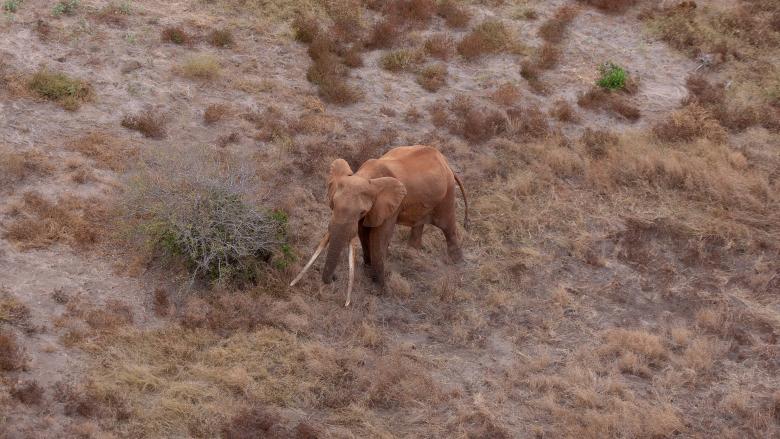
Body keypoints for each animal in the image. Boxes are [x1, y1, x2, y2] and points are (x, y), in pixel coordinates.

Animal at [288, 144, 466, 306]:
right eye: (333, 204)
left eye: (361, 212)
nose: (333, 279)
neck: (365, 176)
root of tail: (446, 163)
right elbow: (363, 233)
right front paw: (367, 272)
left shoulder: (390, 207)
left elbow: (378, 237)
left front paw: (379, 289)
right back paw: (412, 254)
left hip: (447, 192)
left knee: (447, 225)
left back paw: (456, 263)